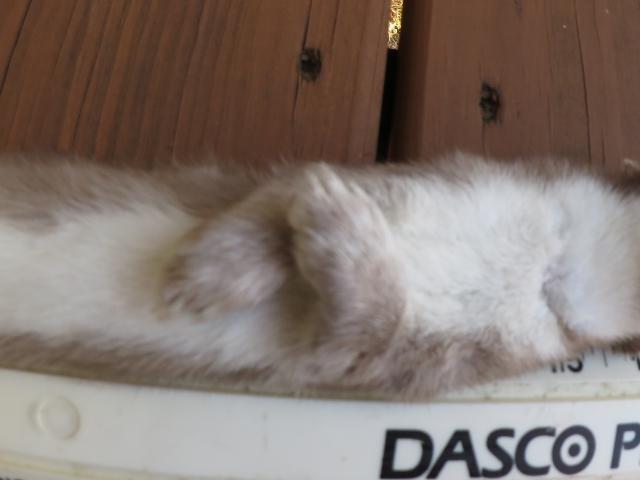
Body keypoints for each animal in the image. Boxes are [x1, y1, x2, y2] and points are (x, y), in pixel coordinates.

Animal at [0, 151, 638, 399]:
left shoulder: (424, 362)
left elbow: (358, 333)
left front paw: (337, 225)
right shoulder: (407, 180)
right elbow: (269, 204)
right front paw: (204, 273)